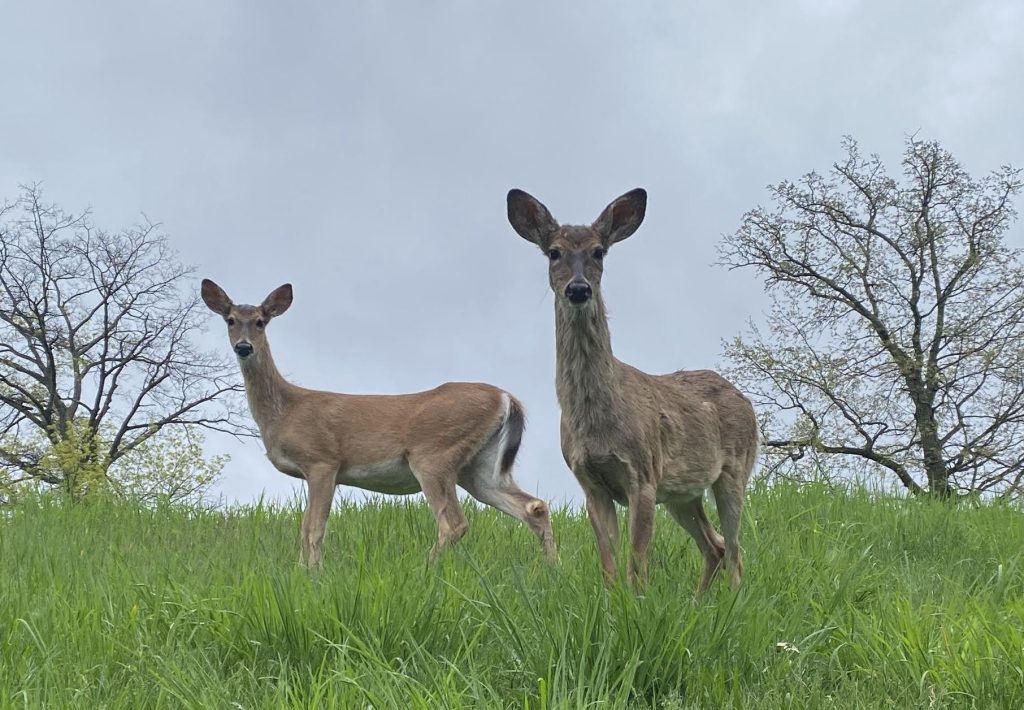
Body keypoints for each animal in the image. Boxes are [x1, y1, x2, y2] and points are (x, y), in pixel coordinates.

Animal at [201, 279, 556, 568]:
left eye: (261, 322)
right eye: (230, 320)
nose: (243, 346)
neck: (285, 409)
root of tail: (506, 397)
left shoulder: (322, 461)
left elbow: (314, 529)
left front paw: (313, 576)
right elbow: (304, 529)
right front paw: (302, 573)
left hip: (434, 454)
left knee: (454, 523)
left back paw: (425, 571)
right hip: (479, 467)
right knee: (533, 507)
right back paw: (552, 570)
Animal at [506, 188, 758, 596]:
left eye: (599, 251)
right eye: (554, 252)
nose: (579, 289)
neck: (596, 421)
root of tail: (745, 399)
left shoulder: (643, 474)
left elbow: (637, 565)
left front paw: (637, 603)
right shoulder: (590, 482)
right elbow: (609, 565)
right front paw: (613, 603)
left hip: (734, 469)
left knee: (736, 550)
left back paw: (732, 601)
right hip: (684, 492)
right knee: (715, 546)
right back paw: (698, 603)